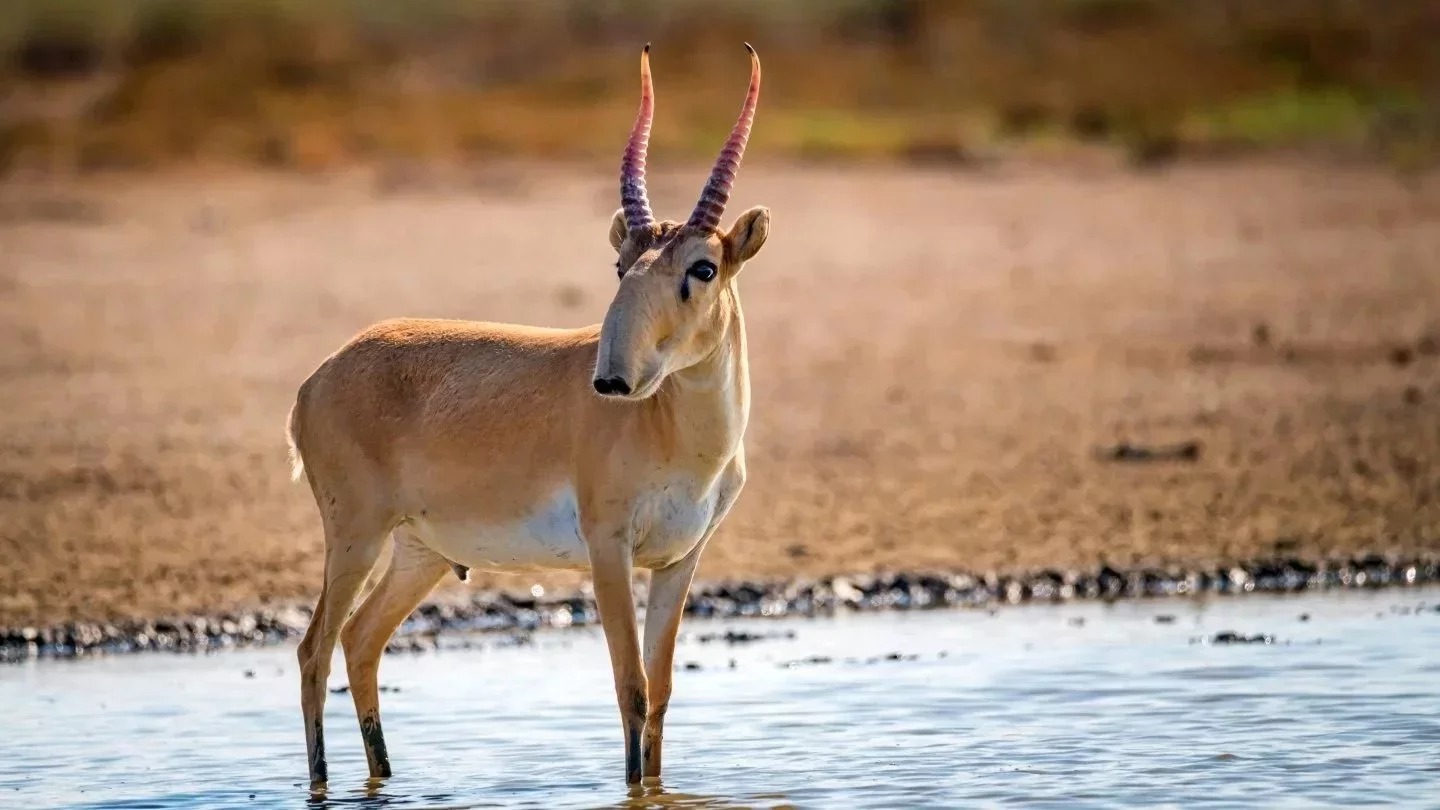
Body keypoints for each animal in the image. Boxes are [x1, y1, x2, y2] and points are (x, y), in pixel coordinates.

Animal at [285, 45, 771, 789]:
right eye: (621, 263)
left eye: (704, 267)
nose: (612, 379)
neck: (677, 435)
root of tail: (317, 380)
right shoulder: (608, 549)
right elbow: (630, 687)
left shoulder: (679, 559)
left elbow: (660, 692)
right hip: (355, 538)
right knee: (314, 649)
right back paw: (323, 784)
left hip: (420, 552)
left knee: (361, 641)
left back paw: (385, 776)